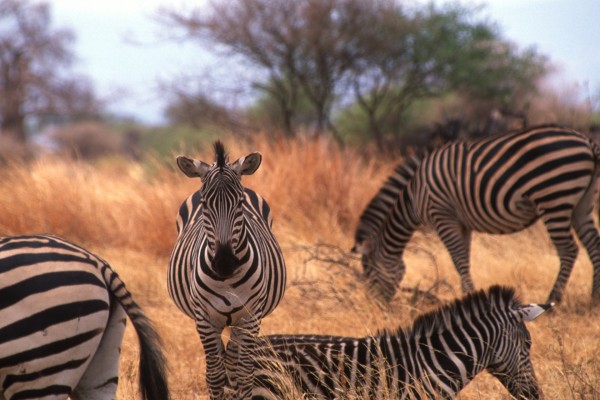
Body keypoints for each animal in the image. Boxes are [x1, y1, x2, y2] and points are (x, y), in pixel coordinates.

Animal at [168, 141, 288, 400]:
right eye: (205, 204)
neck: (226, 280)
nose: (224, 263)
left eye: (240, 203)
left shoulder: (250, 317)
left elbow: (244, 373)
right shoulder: (204, 318)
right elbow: (214, 375)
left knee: (233, 363)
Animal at [354, 125, 600, 304]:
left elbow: (458, 259)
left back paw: (552, 301)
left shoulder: (442, 215)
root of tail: (586, 141)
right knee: (593, 244)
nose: (376, 306)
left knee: (569, 250)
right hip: (581, 204)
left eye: (369, 272)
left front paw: (469, 297)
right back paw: (594, 299)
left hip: (554, 197)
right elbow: (465, 259)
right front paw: (468, 296)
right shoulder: (462, 223)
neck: (413, 195)